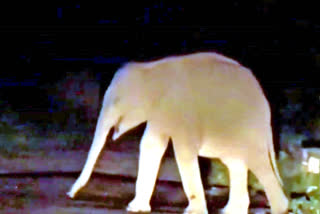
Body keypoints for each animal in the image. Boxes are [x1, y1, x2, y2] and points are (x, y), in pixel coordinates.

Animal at [66, 52, 288, 214]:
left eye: (116, 101)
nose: (70, 195)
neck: (151, 67)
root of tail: (264, 102)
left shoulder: (180, 109)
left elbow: (183, 151)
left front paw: (194, 212)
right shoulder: (161, 113)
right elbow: (150, 145)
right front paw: (135, 208)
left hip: (247, 125)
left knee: (255, 161)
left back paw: (280, 209)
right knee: (235, 163)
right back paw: (232, 211)